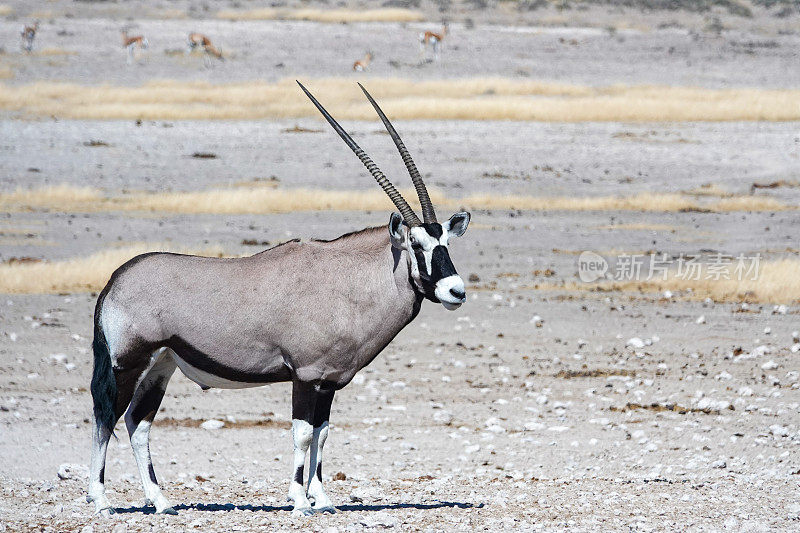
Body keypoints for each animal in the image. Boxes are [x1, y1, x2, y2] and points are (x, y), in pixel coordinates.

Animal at [86, 82, 476, 516]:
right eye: (416, 244)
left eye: (445, 242)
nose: (456, 291)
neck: (346, 281)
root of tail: (116, 279)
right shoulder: (305, 375)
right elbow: (303, 434)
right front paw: (299, 500)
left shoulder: (328, 382)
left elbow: (323, 432)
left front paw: (322, 498)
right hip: (128, 363)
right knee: (106, 417)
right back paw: (101, 500)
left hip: (161, 365)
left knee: (138, 423)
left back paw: (161, 500)